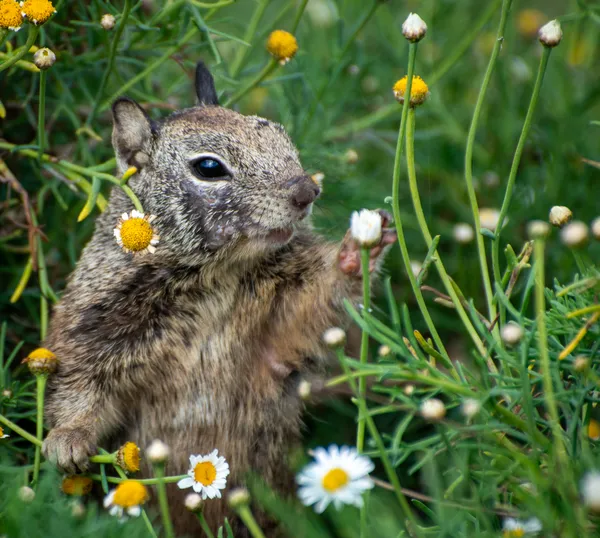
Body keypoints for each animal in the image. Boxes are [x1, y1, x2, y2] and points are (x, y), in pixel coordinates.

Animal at [43, 61, 398, 532]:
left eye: (282, 136)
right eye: (209, 168)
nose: (307, 192)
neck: (215, 279)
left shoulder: (277, 328)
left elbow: (313, 307)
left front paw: (358, 252)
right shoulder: (95, 329)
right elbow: (81, 388)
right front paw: (66, 442)